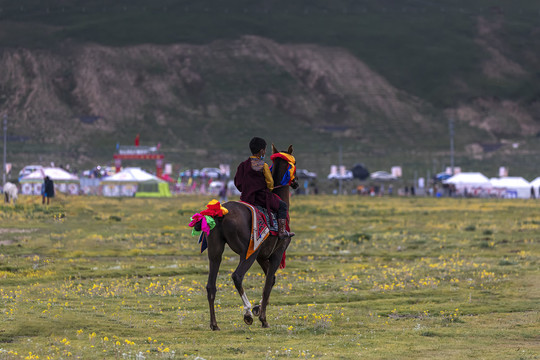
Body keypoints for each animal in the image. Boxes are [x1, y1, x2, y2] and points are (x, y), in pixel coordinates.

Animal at [206, 143, 300, 330]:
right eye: (294, 164)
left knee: (210, 286)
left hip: (215, 253)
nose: (296, 182)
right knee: (237, 276)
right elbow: (268, 283)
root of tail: (221, 212)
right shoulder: (276, 253)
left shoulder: (262, 256)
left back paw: (215, 324)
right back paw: (247, 313)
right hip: (248, 252)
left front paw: (258, 308)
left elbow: (271, 280)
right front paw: (262, 317)